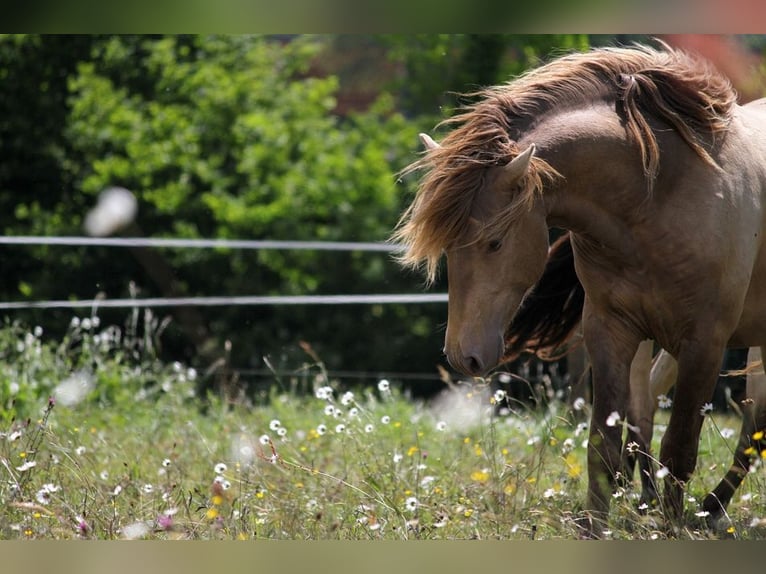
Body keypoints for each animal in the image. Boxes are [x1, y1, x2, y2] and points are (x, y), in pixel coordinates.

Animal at [508, 231, 766, 528]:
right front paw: (711, 505)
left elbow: (757, 429)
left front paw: (713, 505)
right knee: (642, 401)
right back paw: (643, 492)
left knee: (650, 394)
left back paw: (633, 485)